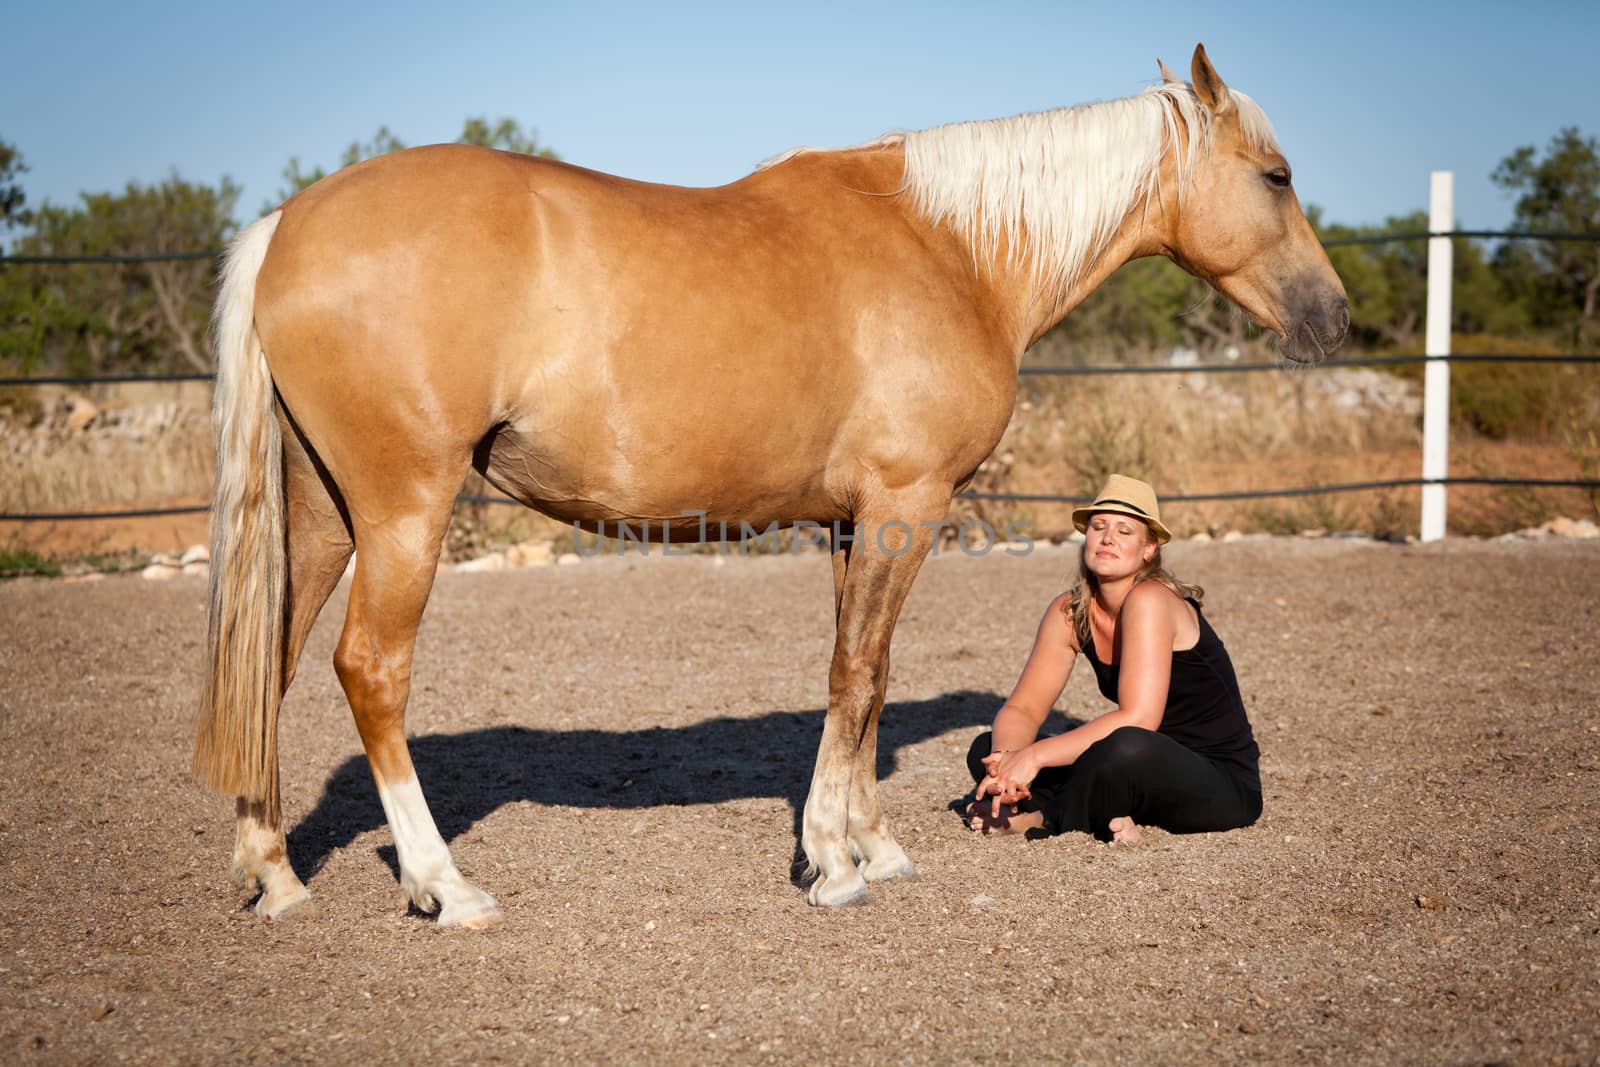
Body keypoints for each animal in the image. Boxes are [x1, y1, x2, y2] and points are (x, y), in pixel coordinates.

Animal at [200, 45, 1350, 921]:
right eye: (1277, 175)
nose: (1332, 316)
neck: (950, 250)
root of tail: (286, 226)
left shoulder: (856, 523)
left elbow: (863, 675)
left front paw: (866, 846)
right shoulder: (904, 505)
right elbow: (857, 675)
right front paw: (837, 865)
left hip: (322, 512)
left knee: (273, 662)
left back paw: (277, 876)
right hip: (404, 509)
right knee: (370, 670)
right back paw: (447, 886)